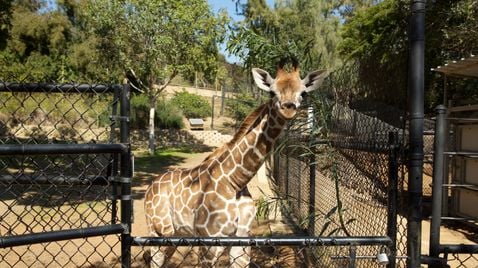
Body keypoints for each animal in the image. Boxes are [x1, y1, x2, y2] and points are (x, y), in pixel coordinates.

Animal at [144, 63, 326, 266]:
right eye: (272, 92)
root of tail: (150, 187)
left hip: (175, 233)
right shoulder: (209, 241)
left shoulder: (242, 237)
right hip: (157, 229)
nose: (288, 107)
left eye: (303, 93)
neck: (235, 181)